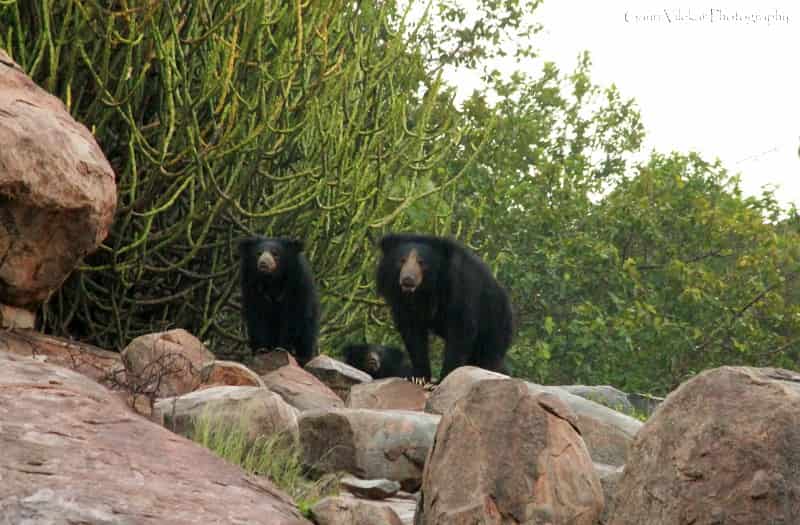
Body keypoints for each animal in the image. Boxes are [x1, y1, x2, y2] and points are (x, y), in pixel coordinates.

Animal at [239, 236, 320, 366]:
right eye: (258, 253)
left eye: (275, 254)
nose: (263, 263)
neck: (273, 280)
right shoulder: (252, 288)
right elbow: (257, 317)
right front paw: (262, 349)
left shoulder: (297, 287)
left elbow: (292, 318)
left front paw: (282, 348)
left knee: (306, 340)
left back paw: (303, 358)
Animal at [376, 233, 513, 381]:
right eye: (402, 260)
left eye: (421, 262)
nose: (408, 279)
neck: (424, 290)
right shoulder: (401, 301)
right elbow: (413, 334)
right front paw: (419, 377)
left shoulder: (460, 288)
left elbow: (460, 331)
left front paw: (445, 376)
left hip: (493, 324)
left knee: (489, 355)